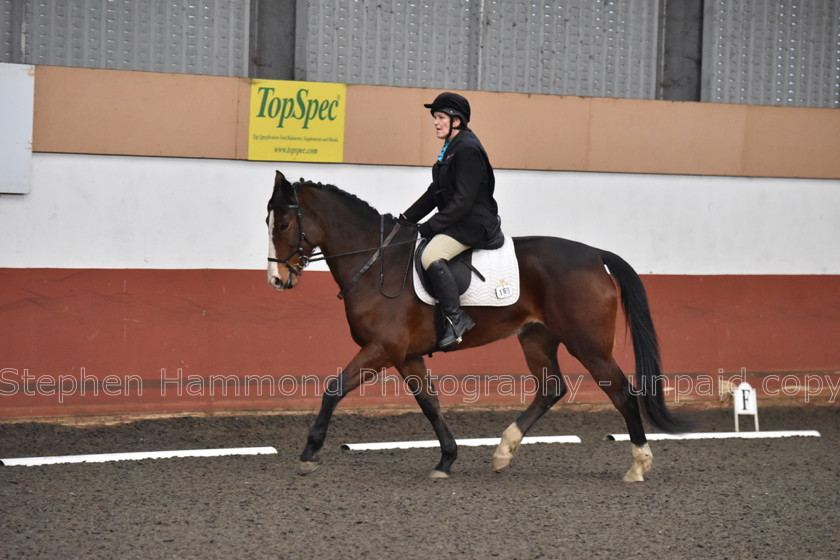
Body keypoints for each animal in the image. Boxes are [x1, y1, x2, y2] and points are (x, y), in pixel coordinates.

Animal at [266, 170, 684, 482]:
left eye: (283, 223)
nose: (276, 280)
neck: (376, 261)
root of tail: (596, 254)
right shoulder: (405, 355)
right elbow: (429, 403)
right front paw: (446, 459)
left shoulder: (382, 350)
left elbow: (333, 390)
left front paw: (309, 452)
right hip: (537, 337)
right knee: (550, 389)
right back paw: (503, 452)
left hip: (589, 345)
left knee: (623, 393)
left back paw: (638, 465)